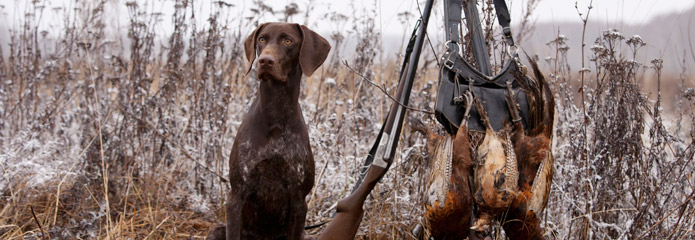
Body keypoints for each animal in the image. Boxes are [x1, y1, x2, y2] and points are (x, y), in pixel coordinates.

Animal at [207, 22, 332, 240]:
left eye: (288, 40)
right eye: (262, 39)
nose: (265, 60)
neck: (276, 112)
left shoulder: (299, 202)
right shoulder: (236, 195)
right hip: (216, 231)